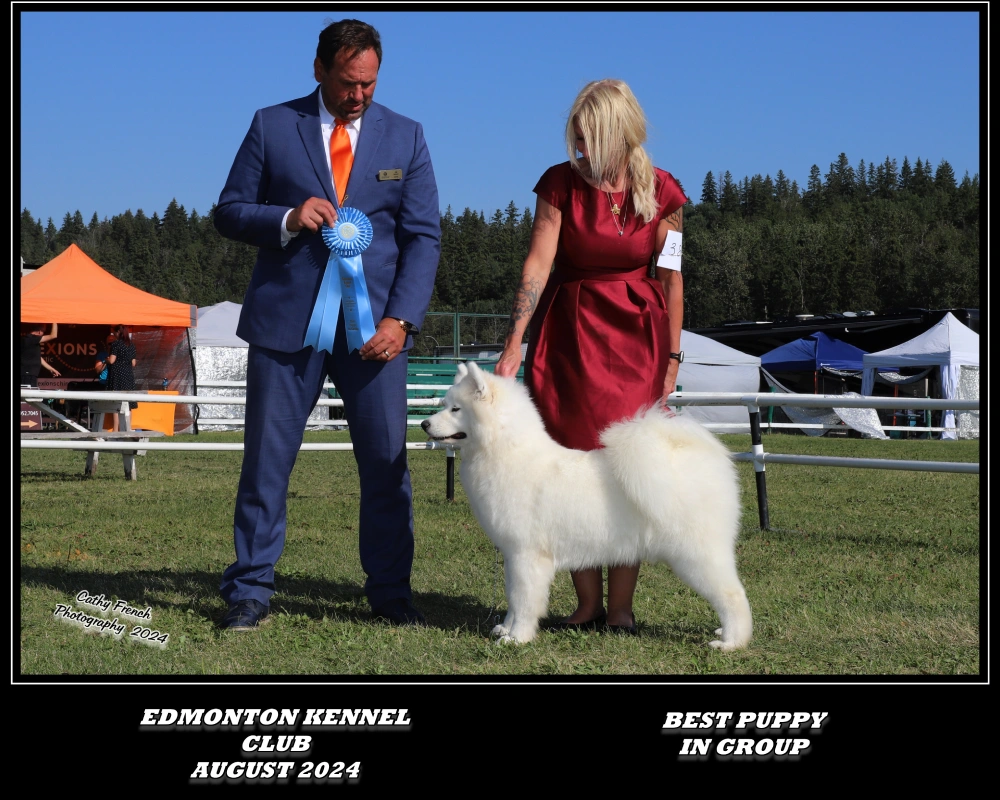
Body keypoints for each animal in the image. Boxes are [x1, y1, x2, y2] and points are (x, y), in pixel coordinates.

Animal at [420, 362, 752, 648]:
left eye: (455, 409)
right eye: (445, 404)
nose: (423, 423)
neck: (506, 453)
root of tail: (695, 454)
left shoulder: (527, 555)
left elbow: (525, 601)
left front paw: (517, 638)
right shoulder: (513, 556)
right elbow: (513, 597)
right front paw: (505, 628)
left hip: (696, 554)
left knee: (733, 595)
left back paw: (731, 642)